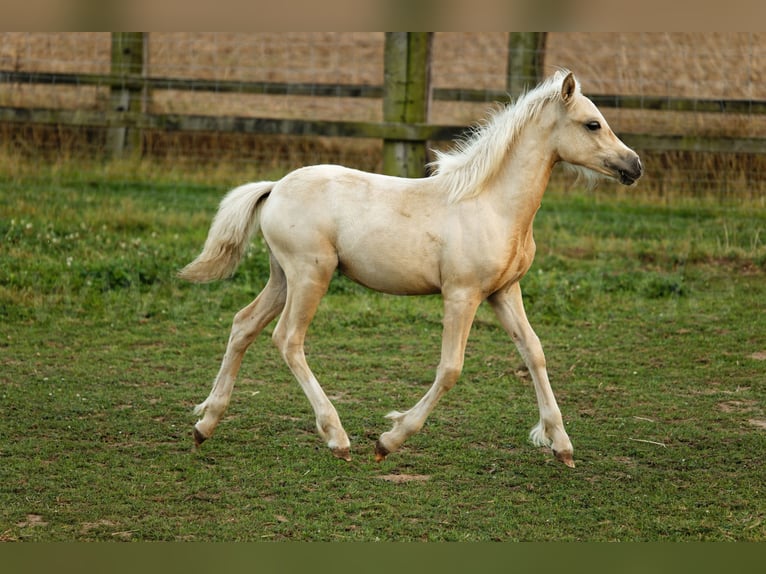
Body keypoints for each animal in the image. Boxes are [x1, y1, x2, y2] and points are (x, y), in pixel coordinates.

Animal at [180, 71, 640, 468]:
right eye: (593, 124)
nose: (634, 166)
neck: (492, 204)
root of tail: (275, 186)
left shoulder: (504, 292)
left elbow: (534, 352)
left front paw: (561, 444)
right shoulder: (462, 294)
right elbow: (451, 368)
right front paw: (390, 439)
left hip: (282, 276)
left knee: (244, 324)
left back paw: (205, 424)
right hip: (311, 274)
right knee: (288, 339)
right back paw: (337, 436)